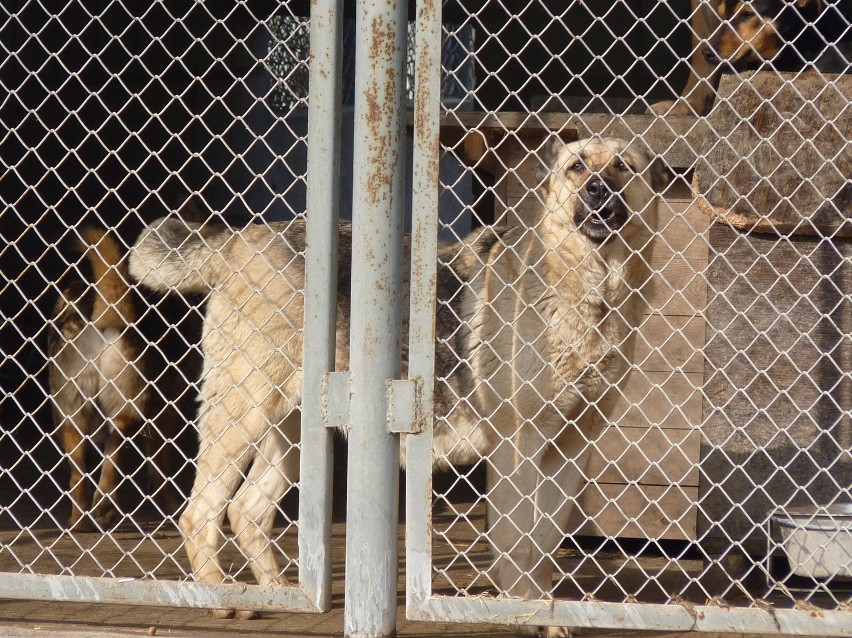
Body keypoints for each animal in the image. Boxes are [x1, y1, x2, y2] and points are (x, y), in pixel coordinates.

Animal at [49, 228, 182, 532]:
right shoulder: (166, 409)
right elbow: (161, 466)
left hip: (70, 411)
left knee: (78, 475)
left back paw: (80, 520)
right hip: (129, 402)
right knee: (115, 450)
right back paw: (105, 502)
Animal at [130, 140, 668, 638]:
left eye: (623, 166)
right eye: (576, 167)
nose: (597, 188)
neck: (587, 288)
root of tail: (236, 242)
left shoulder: (571, 448)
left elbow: (545, 540)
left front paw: (545, 610)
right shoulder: (520, 447)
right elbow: (518, 541)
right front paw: (527, 614)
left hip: (294, 436)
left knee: (247, 511)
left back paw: (283, 593)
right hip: (243, 414)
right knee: (200, 512)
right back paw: (221, 599)